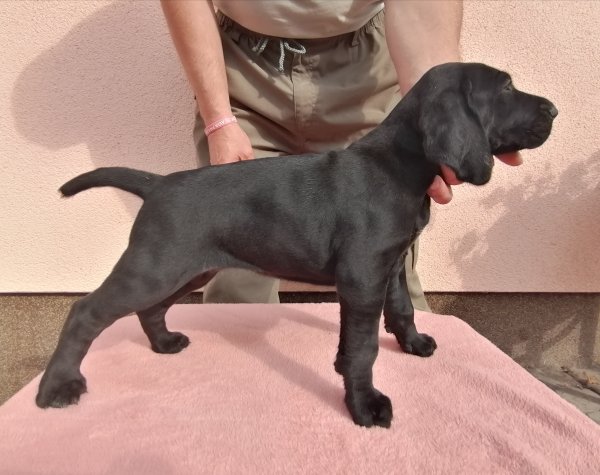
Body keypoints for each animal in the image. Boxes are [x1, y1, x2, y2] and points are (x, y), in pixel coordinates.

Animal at [36, 63, 557, 428]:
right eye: (505, 88)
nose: (553, 110)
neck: (397, 164)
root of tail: (159, 184)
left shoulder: (386, 268)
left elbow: (401, 310)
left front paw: (410, 345)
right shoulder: (362, 277)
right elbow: (364, 348)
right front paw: (365, 404)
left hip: (183, 268)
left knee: (151, 308)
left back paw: (164, 344)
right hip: (156, 266)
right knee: (86, 312)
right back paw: (58, 387)